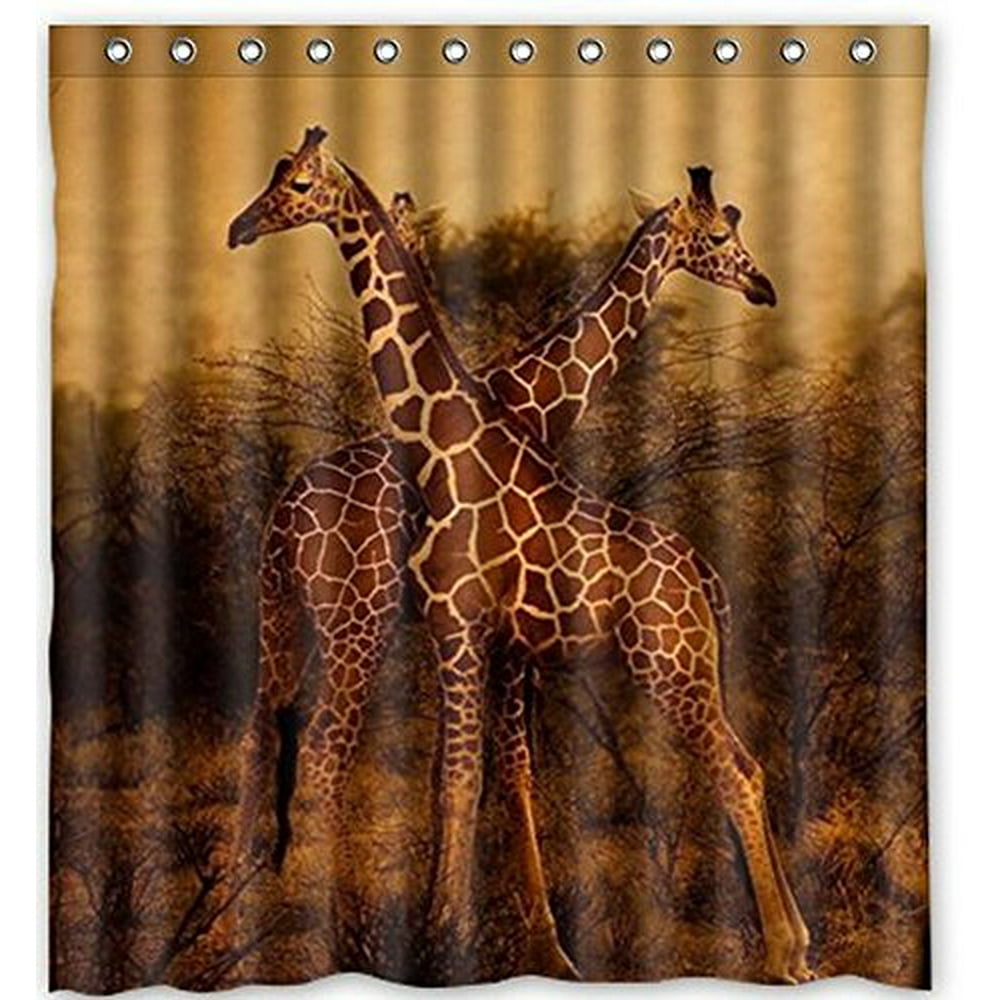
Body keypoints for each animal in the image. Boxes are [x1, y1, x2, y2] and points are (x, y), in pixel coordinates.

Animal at [228, 128, 810, 984]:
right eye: (717, 235)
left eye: (296, 182)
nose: (763, 284)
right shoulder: (479, 637)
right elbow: (480, 777)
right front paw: (492, 936)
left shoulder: (483, 638)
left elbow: (485, 777)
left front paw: (483, 935)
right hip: (339, 624)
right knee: (304, 749)